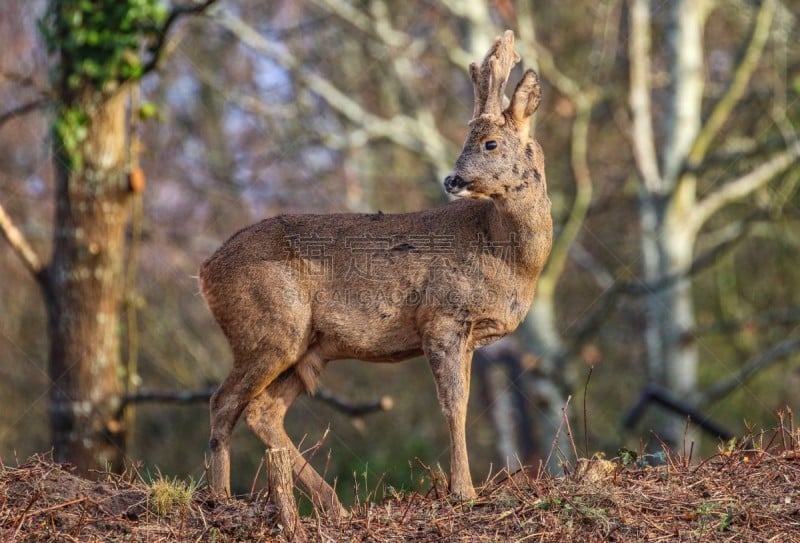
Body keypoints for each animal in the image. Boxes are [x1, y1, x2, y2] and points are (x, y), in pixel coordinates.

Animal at [198, 31, 552, 516]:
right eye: (471, 137)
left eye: (490, 143)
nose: (452, 180)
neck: (510, 256)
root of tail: (205, 270)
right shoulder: (442, 317)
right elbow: (454, 405)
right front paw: (464, 492)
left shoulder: (469, 332)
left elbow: (459, 402)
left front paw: (463, 488)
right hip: (269, 328)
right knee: (224, 401)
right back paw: (220, 499)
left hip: (310, 346)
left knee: (261, 409)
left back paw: (332, 505)